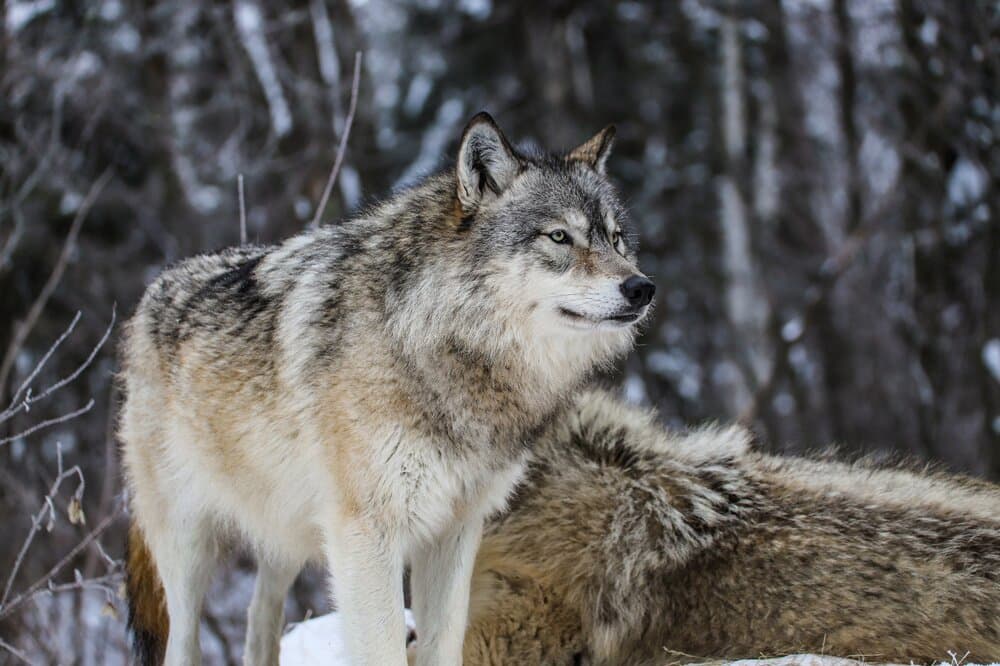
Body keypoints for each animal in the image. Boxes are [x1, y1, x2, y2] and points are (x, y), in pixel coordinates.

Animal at [120, 112, 654, 666]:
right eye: (559, 236)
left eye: (616, 239)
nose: (642, 287)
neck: (434, 342)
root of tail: (152, 291)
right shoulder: (367, 534)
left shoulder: (457, 530)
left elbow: (444, 643)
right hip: (188, 546)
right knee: (183, 642)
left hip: (286, 537)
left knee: (258, 618)